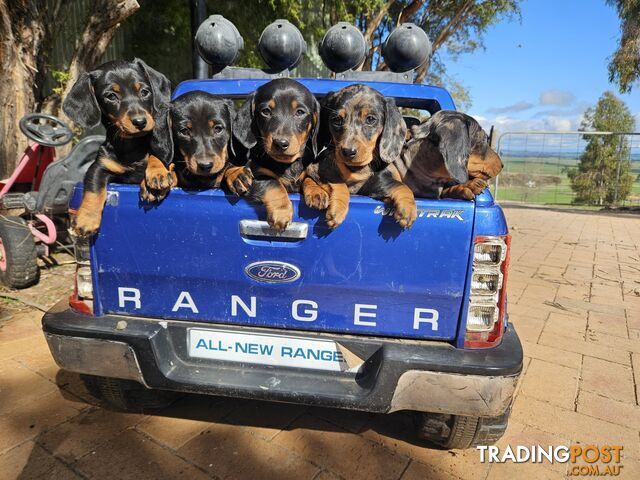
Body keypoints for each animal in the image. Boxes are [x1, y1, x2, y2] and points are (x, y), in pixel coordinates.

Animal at [62, 58, 174, 236]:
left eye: (145, 92)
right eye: (111, 96)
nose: (140, 122)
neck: (132, 145)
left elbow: (158, 157)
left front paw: (157, 175)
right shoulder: (100, 166)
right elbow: (94, 188)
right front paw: (86, 220)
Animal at [234, 78, 318, 231]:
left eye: (300, 112)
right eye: (266, 111)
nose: (280, 143)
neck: (287, 164)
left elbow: (309, 176)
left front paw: (318, 192)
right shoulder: (256, 173)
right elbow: (273, 184)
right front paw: (282, 212)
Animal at [304, 83, 416, 230]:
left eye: (370, 119)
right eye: (336, 120)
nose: (348, 152)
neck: (357, 168)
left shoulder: (375, 181)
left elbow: (399, 185)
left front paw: (407, 208)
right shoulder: (319, 168)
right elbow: (338, 182)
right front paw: (337, 210)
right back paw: (316, 194)